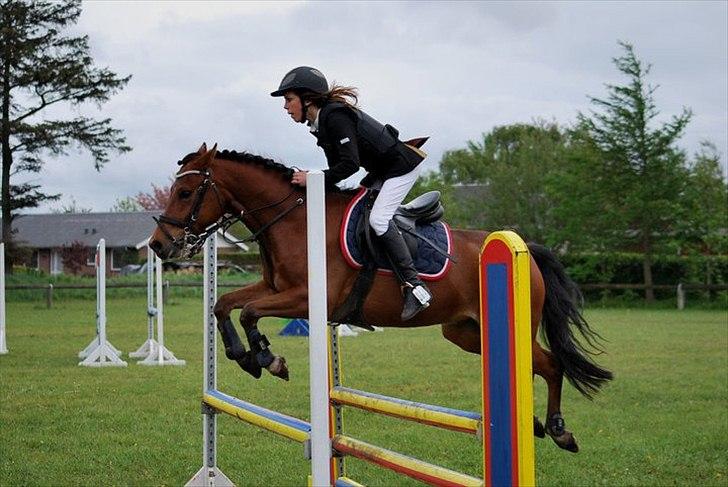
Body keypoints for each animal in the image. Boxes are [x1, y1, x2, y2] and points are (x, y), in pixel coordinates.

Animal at [149, 143, 613, 453]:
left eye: (186, 194)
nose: (158, 245)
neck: (294, 219)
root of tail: (523, 248)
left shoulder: (306, 298)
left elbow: (247, 311)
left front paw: (267, 358)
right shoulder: (278, 290)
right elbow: (224, 305)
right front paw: (246, 357)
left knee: (552, 365)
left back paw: (558, 429)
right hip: (466, 333)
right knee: (537, 365)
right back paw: (533, 422)